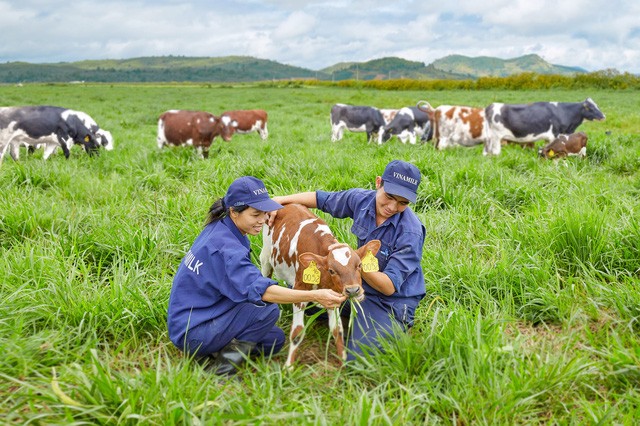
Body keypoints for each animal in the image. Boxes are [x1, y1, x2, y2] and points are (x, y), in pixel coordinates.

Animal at [260, 205, 380, 368]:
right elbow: (297, 332)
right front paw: (288, 367)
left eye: (359, 265)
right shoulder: (299, 291)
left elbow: (337, 329)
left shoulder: (333, 295)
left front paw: (343, 362)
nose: (353, 290)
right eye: (332, 270)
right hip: (266, 258)